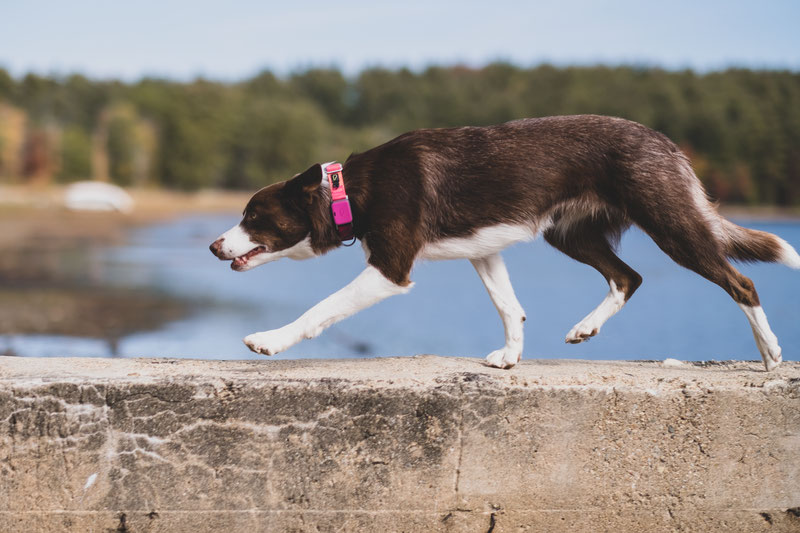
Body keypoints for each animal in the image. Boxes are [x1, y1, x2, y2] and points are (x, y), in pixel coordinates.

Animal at [209, 114, 796, 368]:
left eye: (254, 215)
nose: (214, 247)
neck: (347, 192)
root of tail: (667, 144)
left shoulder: (391, 268)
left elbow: (320, 309)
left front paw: (270, 340)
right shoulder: (483, 250)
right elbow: (509, 307)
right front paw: (511, 357)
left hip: (671, 224)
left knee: (740, 283)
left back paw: (770, 355)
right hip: (570, 233)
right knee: (629, 276)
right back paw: (586, 327)